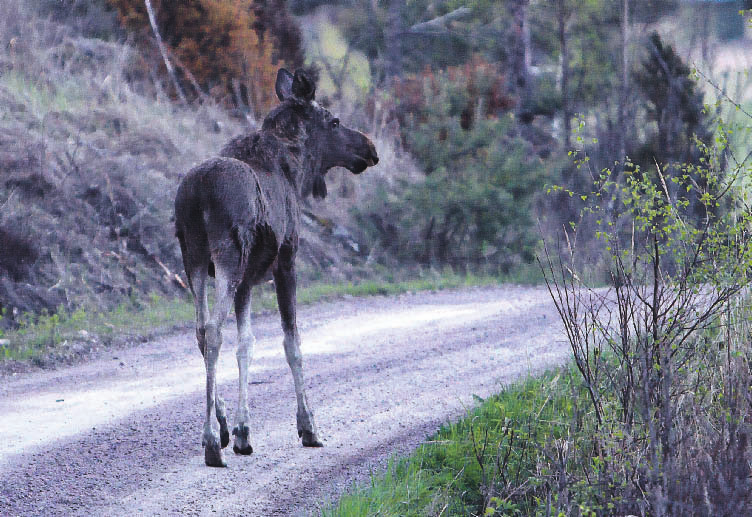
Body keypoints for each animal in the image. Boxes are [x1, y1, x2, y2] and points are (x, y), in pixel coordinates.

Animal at [174, 68, 378, 468]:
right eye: (334, 121)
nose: (369, 148)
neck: (296, 174)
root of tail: (196, 195)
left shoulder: (248, 282)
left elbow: (247, 344)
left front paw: (240, 429)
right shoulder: (286, 264)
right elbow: (291, 343)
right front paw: (307, 426)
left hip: (194, 260)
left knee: (201, 331)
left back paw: (219, 426)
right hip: (228, 257)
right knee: (214, 330)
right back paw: (210, 442)